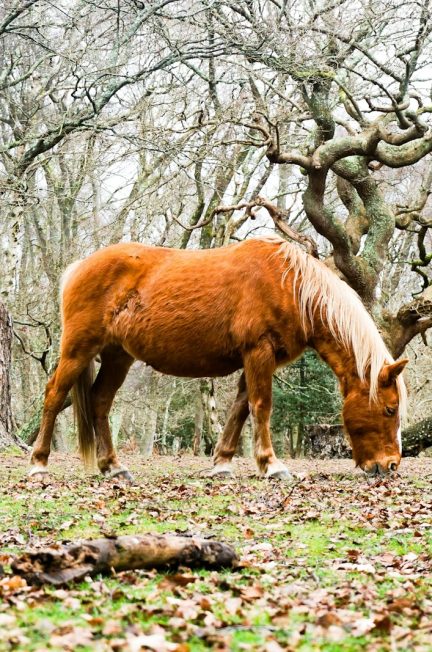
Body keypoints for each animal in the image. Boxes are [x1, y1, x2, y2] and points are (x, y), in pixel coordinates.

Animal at [30, 237, 408, 482]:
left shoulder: (256, 360)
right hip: (78, 350)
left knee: (99, 402)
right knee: (54, 396)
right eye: (390, 410)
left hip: (117, 356)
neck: (291, 285)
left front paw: (223, 463)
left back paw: (112, 467)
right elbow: (261, 406)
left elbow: (240, 408)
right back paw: (39, 463)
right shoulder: (258, 352)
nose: (390, 466)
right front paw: (272, 465)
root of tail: (79, 267)